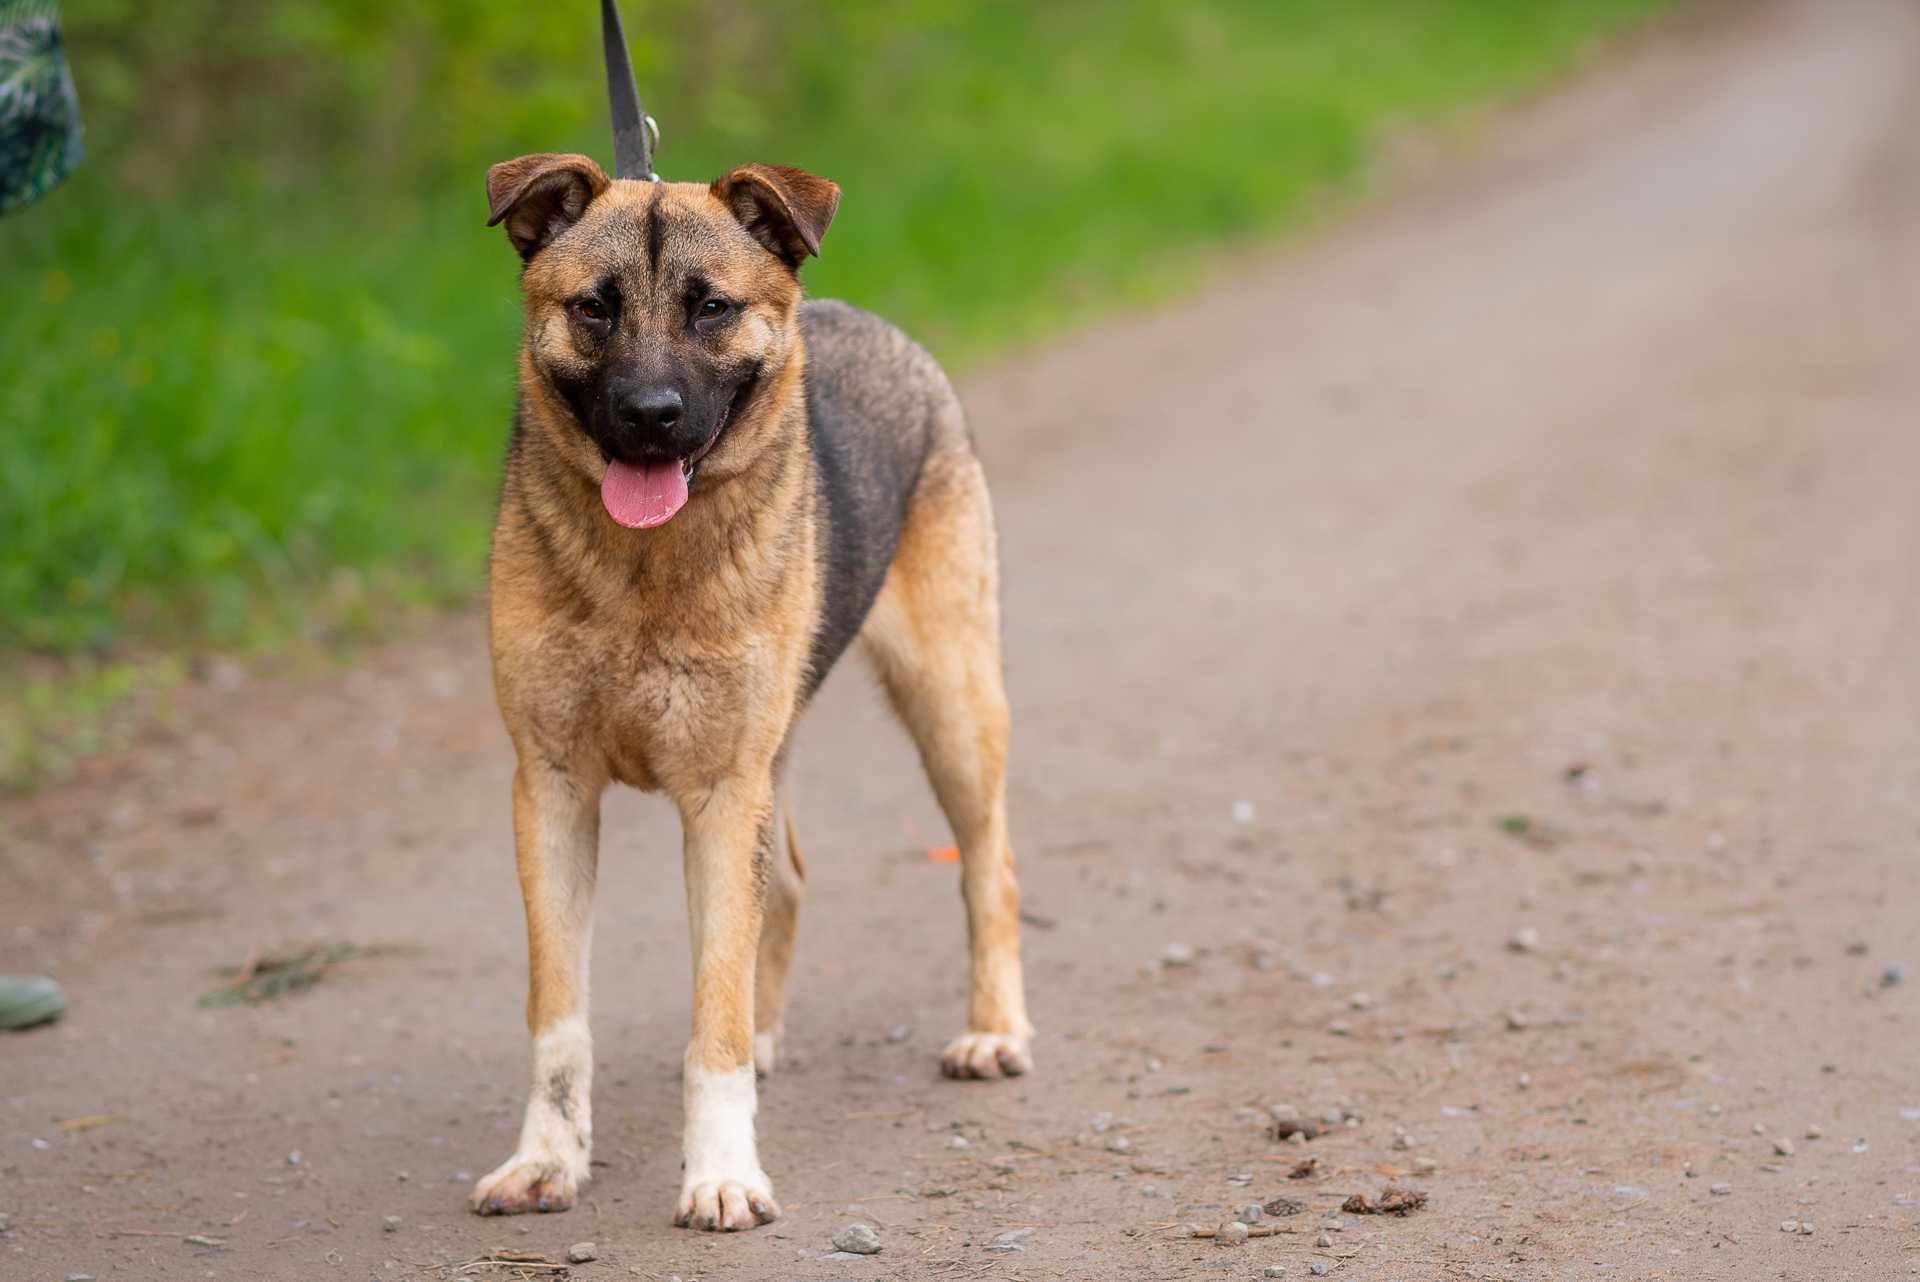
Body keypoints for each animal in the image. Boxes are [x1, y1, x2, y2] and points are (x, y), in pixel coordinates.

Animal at [464, 150, 1036, 1228]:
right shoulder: (550, 788)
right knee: (795, 881)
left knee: (991, 865)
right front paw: (547, 1161)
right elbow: (559, 1017)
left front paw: (723, 1172)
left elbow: (713, 1015)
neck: (646, 569)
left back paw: (994, 1030)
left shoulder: (723, 793)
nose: (650, 417)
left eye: (713, 308)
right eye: (593, 307)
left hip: (949, 699)